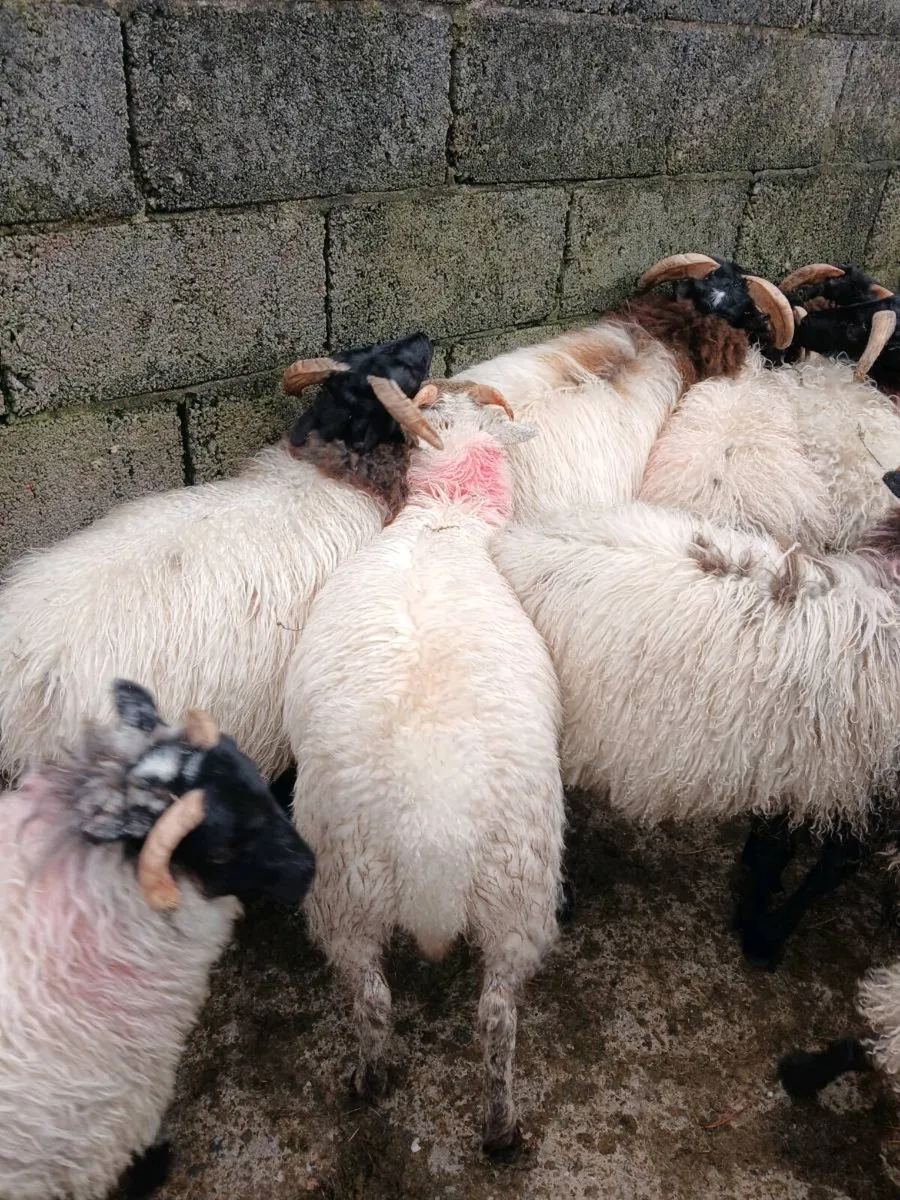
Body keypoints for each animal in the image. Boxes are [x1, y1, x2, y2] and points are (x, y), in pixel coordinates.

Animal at [285, 378, 565, 1158]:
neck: (444, 524)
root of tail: (432, 833)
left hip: (358, 891)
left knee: (384, 999)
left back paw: (377, 1083)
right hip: (508, 895)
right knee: (491, 1015)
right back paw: (495, 1126)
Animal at [491, 474, 900, 967]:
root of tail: (503, 547)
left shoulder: (796, 763)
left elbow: (777, 843)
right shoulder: (843, 778)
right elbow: (822, 865)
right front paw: (763, 933)